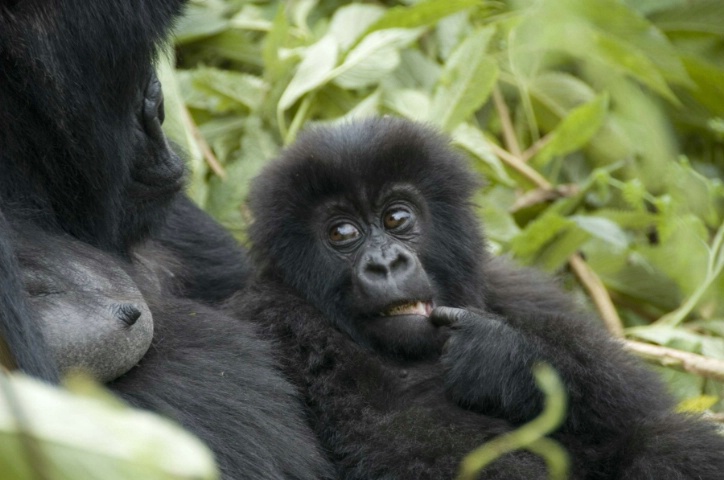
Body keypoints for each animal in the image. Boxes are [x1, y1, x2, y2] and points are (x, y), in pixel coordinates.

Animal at [235, 117, 724, 480]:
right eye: (342, 233)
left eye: (397, 218)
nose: (386, 264)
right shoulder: (270, 317)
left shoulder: (522, 292)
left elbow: (643, 406)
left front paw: (503, 358)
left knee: (665, 440)